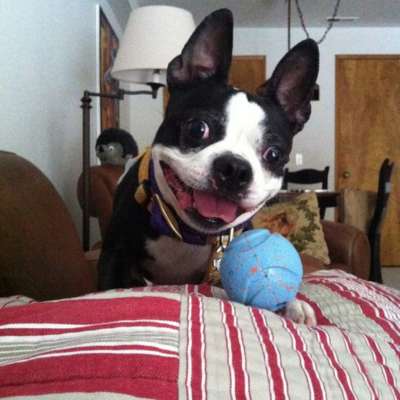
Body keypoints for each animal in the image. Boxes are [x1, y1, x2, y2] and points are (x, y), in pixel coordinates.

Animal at [98, 9, 320, 324]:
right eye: (197, 128)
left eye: (274, 155)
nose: (235, 168)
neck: (186, 233)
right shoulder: (114, 257)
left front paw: (292, 304)